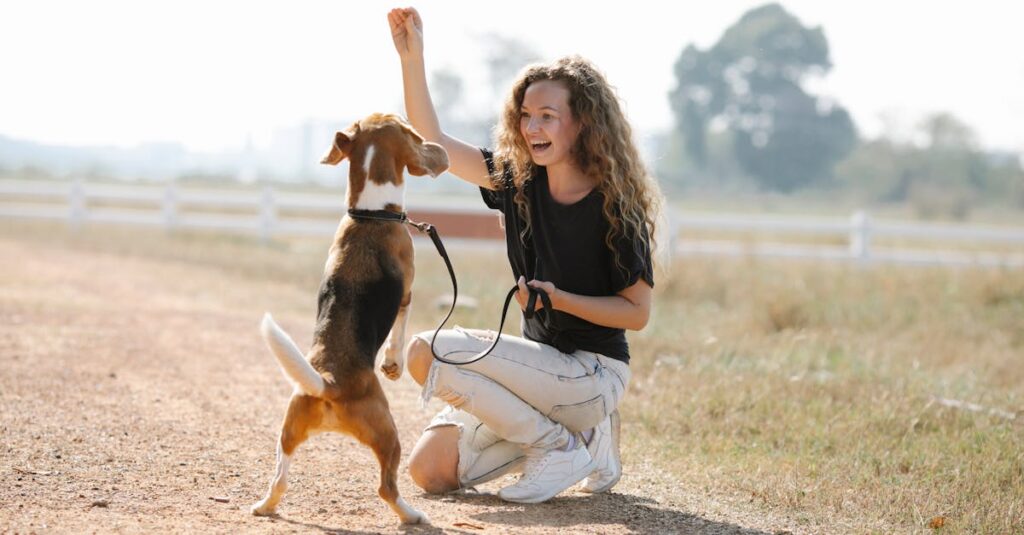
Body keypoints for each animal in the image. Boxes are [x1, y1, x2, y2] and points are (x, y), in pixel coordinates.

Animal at [250, 111, 448, 520]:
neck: (369, 214)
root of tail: (328, 382)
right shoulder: (407, 294)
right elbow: (399, 333)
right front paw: (392, 365)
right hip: (389, 433)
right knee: (386, 488)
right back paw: (412, 515)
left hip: (287, 431)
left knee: (280, 479)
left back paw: (264, 506)